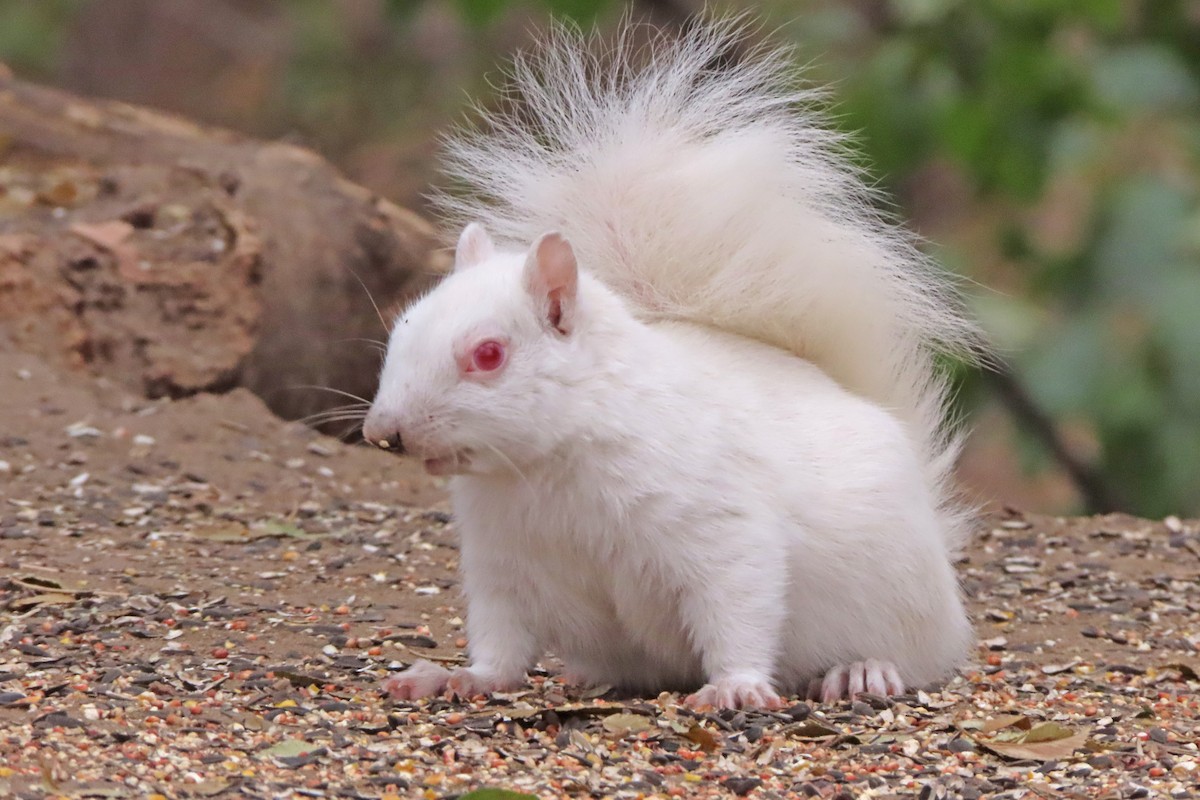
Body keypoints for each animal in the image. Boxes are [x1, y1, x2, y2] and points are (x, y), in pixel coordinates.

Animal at [363, 17, 983, 709]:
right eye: (405, 325)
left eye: (489, 354)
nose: (381, 432)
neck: (543, 469)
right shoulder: (502, 566)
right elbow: (500, 642)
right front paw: (460, 676)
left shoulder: (723, 530)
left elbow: (740, 610)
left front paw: (736, 686)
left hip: (902, 601)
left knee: (917, 655)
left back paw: (863, 671)